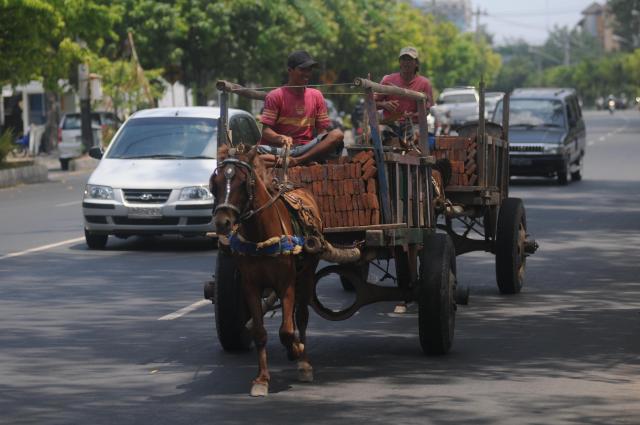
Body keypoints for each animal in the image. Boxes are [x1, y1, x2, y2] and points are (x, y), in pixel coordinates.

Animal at [210, 146, 320, 398]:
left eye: (243, 182)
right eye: (215, 183)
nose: (222, 222)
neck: (261, 236)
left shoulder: (286, 284)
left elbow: (286, 331)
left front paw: (296, 350)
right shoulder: (250, 286)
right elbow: (260, 332)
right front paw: (261, 379)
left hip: (307, 274)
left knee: (302, 316)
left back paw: (304, 361)